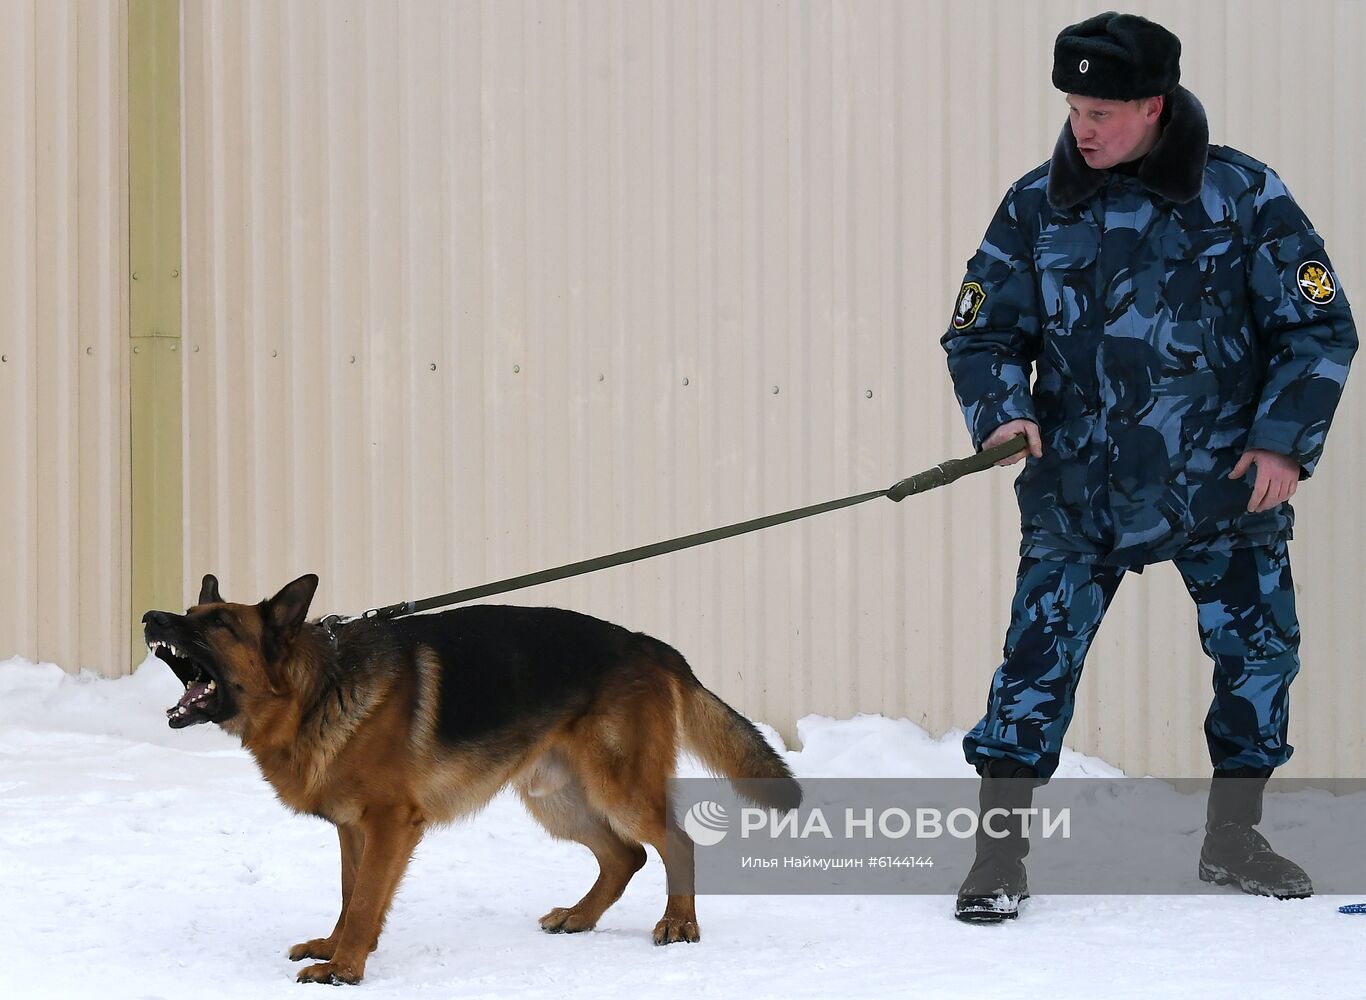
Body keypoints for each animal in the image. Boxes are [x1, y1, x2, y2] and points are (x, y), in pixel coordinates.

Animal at [140, 573, 797, 989]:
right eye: (188, 616)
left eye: (219, 625)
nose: (149, 616)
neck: (317, 686)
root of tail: (652, 646)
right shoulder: (355, 830)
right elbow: (352, 896)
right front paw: (336, 948)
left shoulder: (389, 825)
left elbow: (364, 901)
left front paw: (345, 970)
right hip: (555, 798)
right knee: (625, 855)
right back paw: (579, 918)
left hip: (618, 788)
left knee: (673, 842)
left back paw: (680, 923)